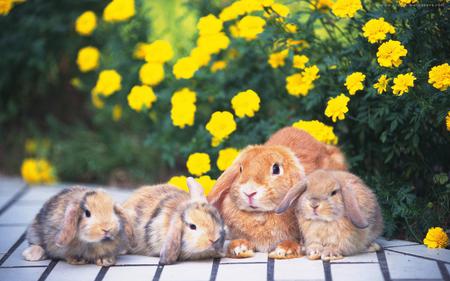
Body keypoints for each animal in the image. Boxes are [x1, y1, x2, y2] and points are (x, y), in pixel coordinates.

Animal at [207, 126, 348, 258]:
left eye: (276, 169)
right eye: (240, 169)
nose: (249, 192)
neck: (260, 214)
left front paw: (285, 249)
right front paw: (239, 247)